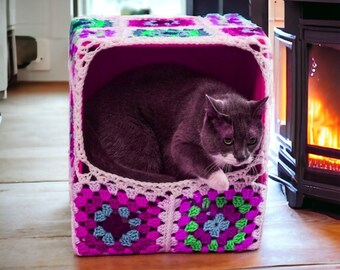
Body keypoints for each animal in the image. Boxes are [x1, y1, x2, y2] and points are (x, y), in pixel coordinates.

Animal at [83, 63, 268, 191]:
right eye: (228, 140)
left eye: (252, 140)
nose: (242, 157)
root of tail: (88, 107)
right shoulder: (180, 140)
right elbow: (194, 157)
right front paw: (222, 181)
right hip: (134, 136)